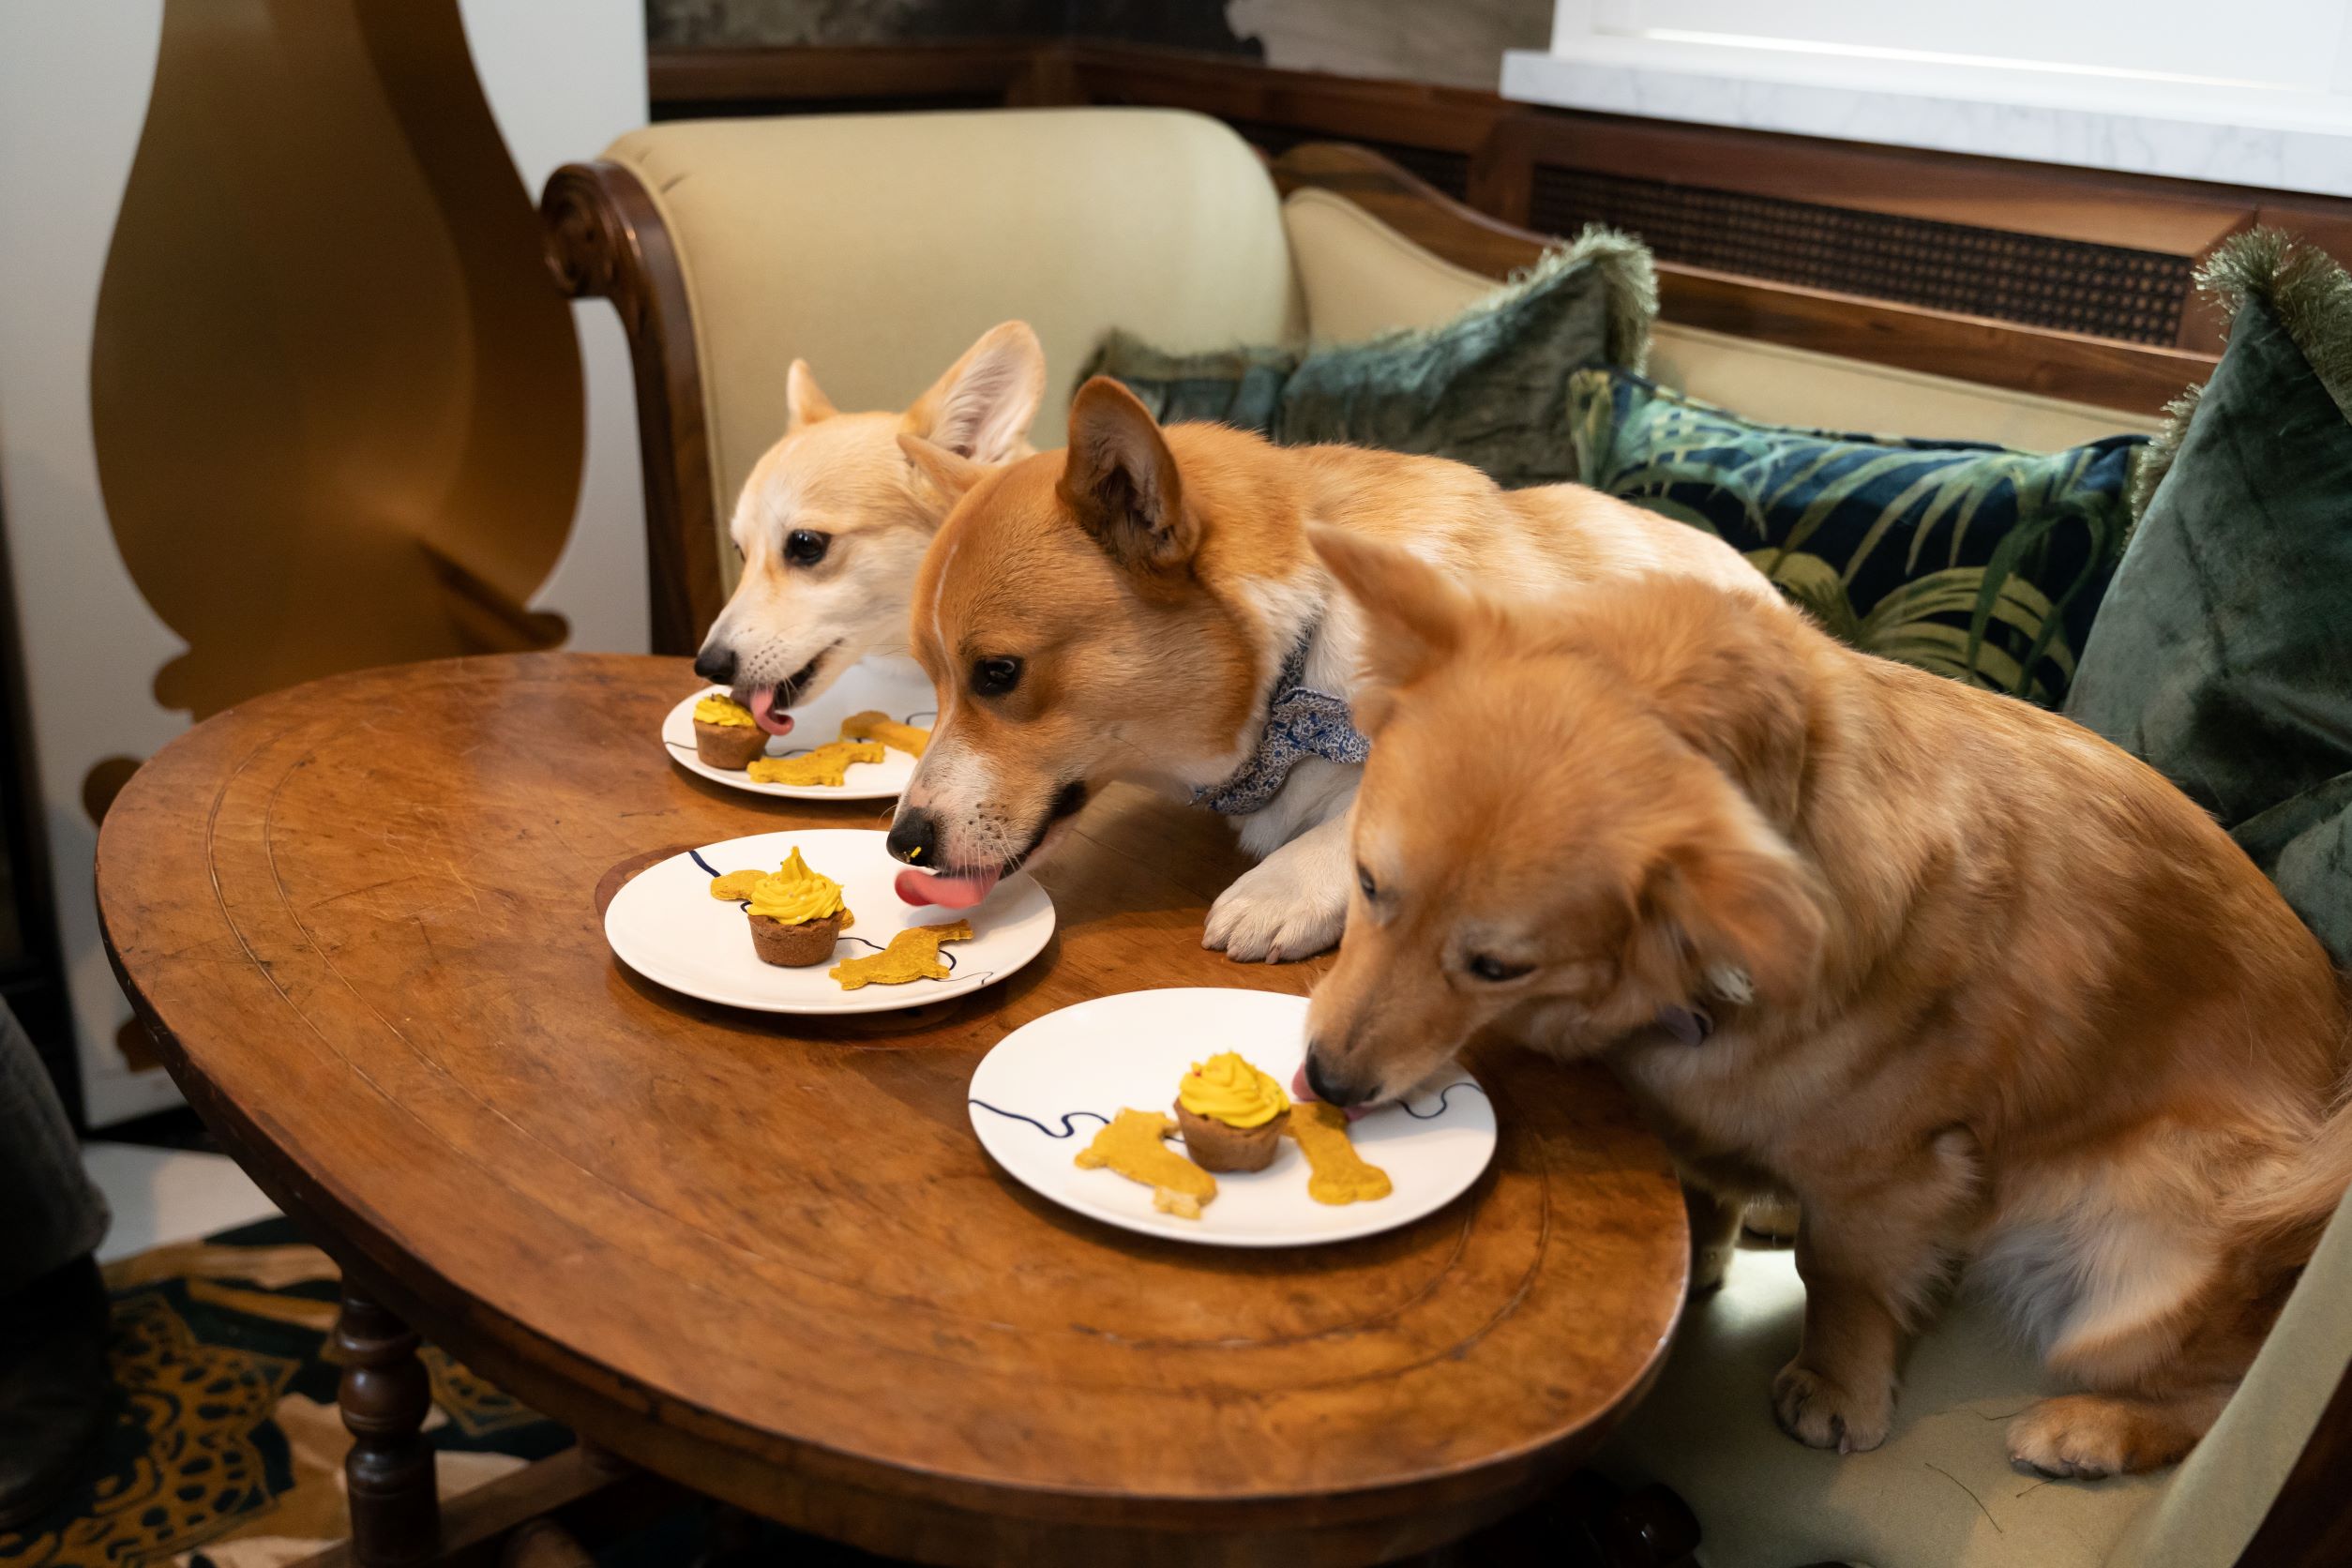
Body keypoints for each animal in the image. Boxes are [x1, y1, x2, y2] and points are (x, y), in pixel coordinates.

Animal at [1307, 534, 2352, 1476]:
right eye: (1367, 884)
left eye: (1496, 966)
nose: (1324, 1080)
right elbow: (1705, 1187)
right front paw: (1708, 1249)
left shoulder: (1884, 1170)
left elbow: (1842, 1274)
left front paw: (1838, 1384)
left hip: (2150, 1256)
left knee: (2220, 1395)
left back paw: (2093, 1428)